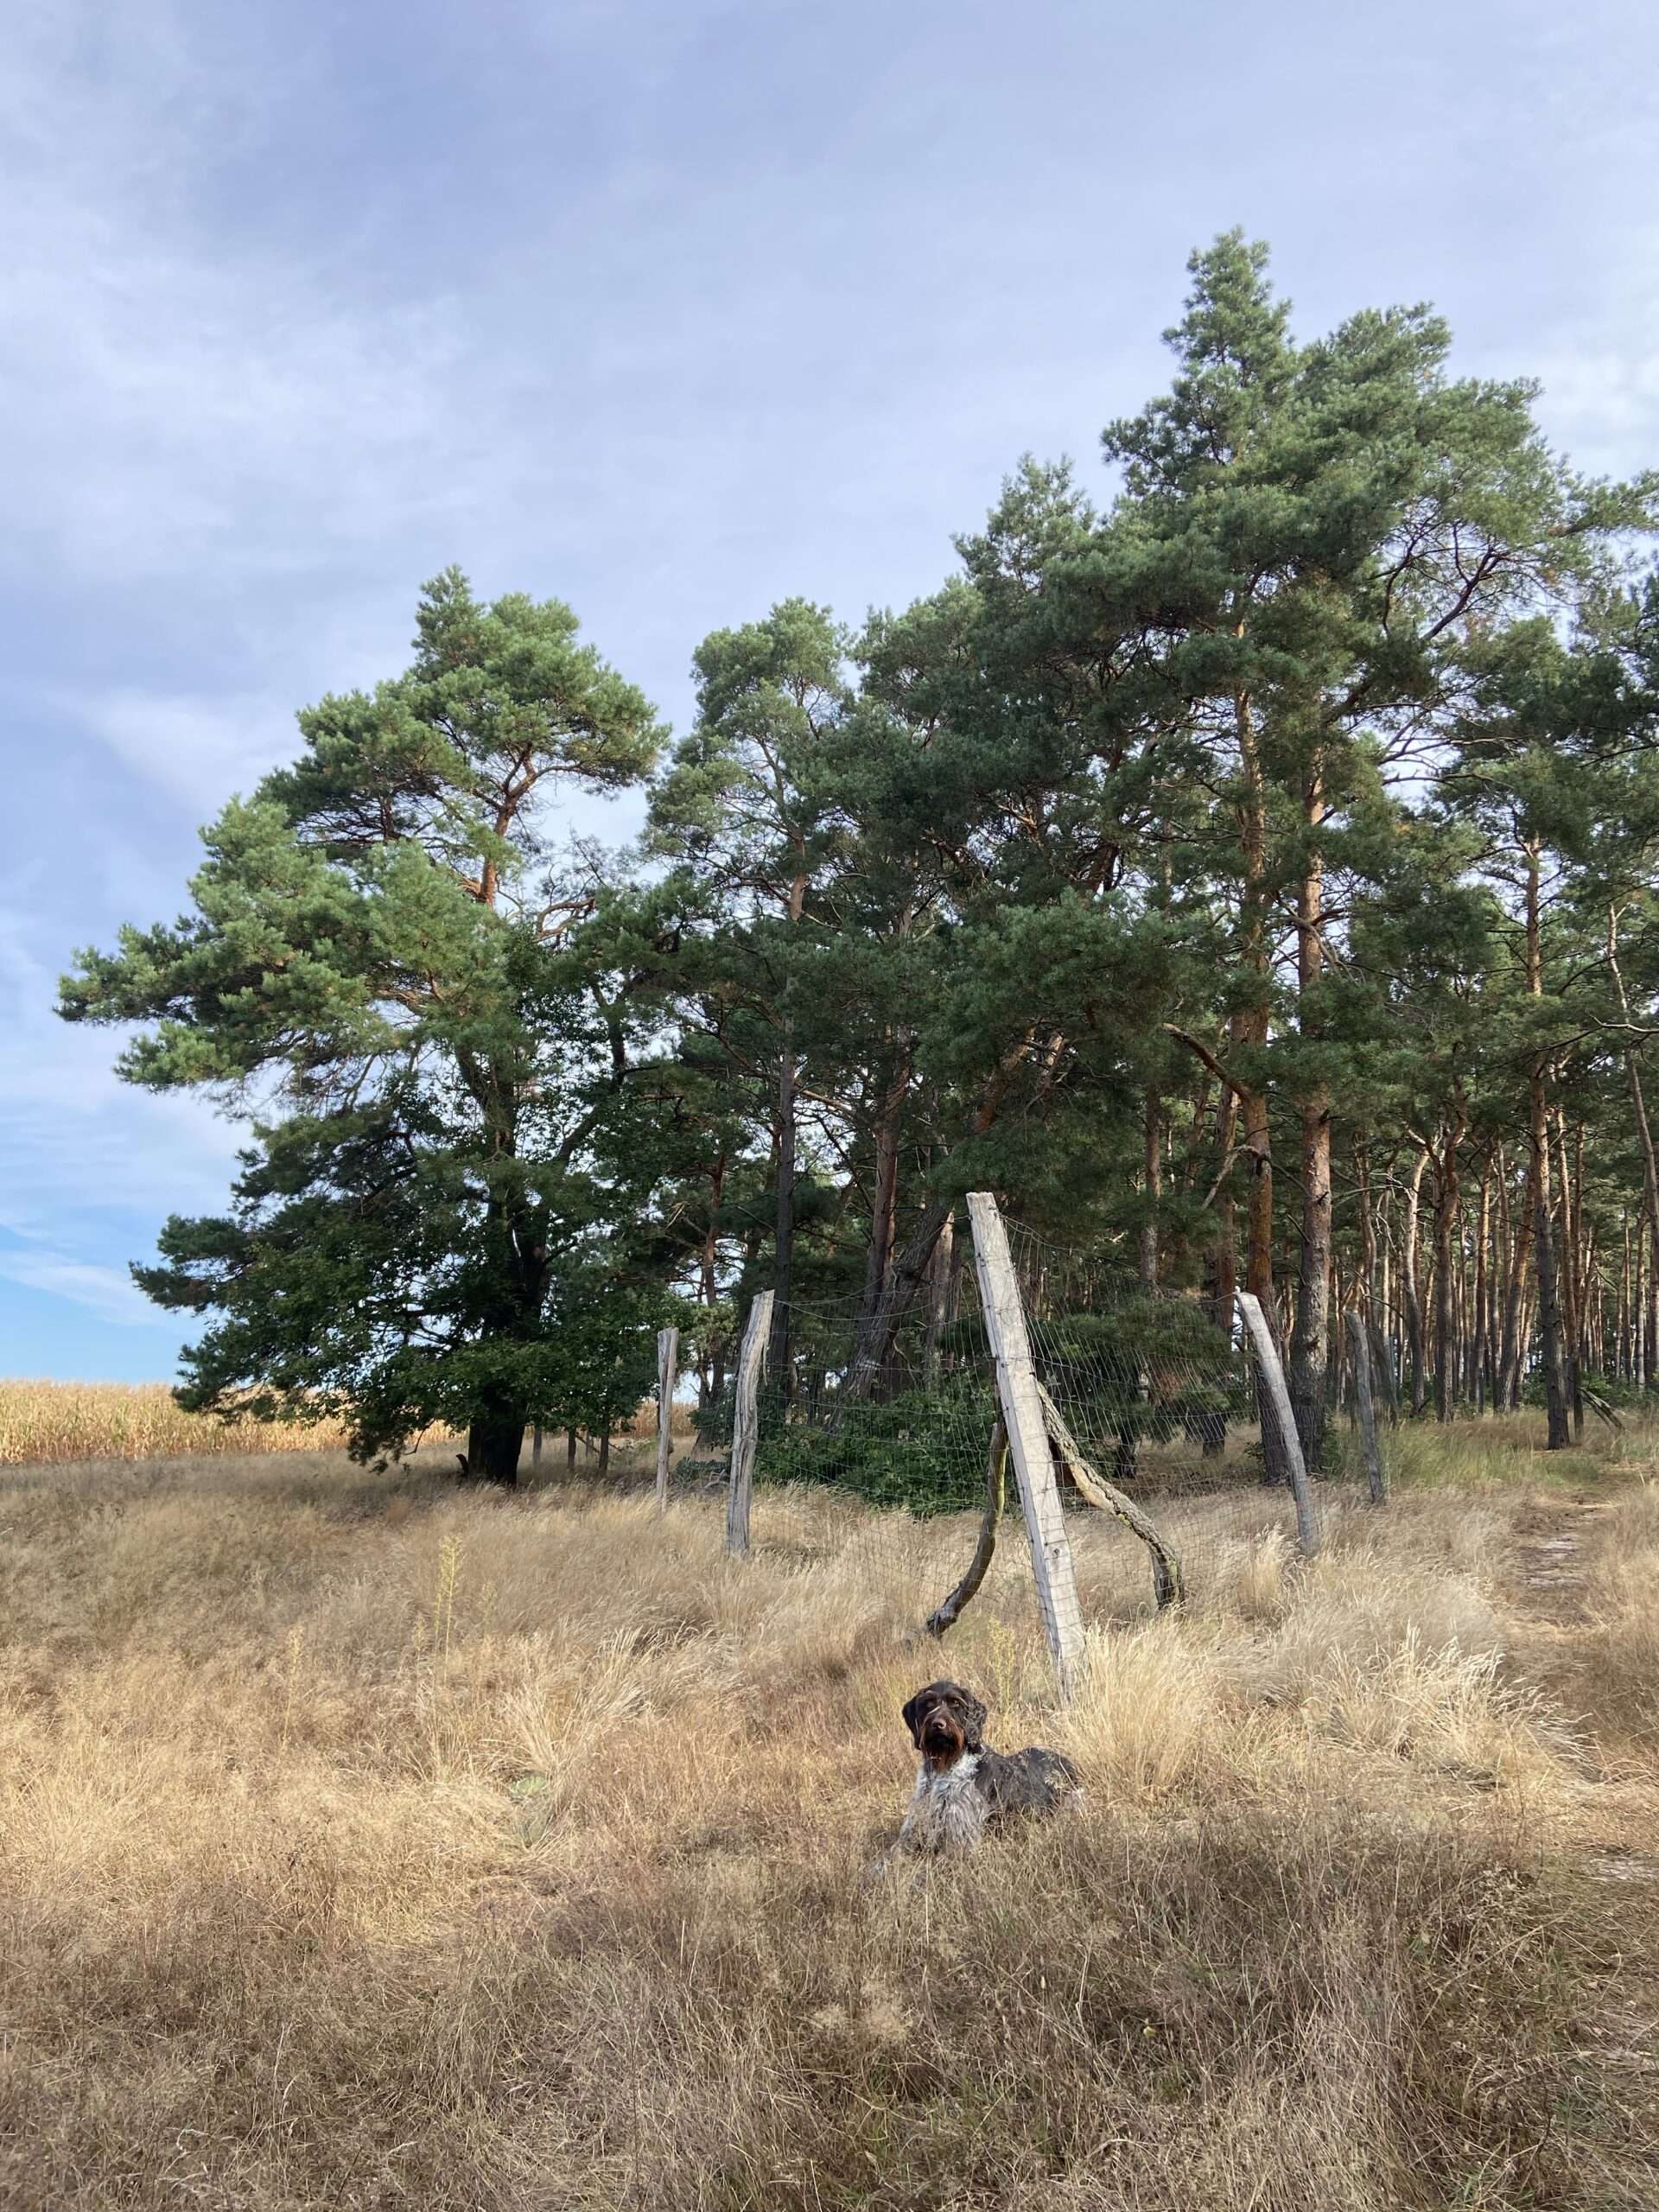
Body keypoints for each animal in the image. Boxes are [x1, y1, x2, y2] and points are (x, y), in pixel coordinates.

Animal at [875, 1672, 1084, 1866]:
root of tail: (1067, 1762)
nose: (938, 1725)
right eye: (928, 1703)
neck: (943, 1770)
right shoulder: (911, 1834)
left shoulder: (960, 1845)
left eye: (955, 1703)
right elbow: (886, 1859)